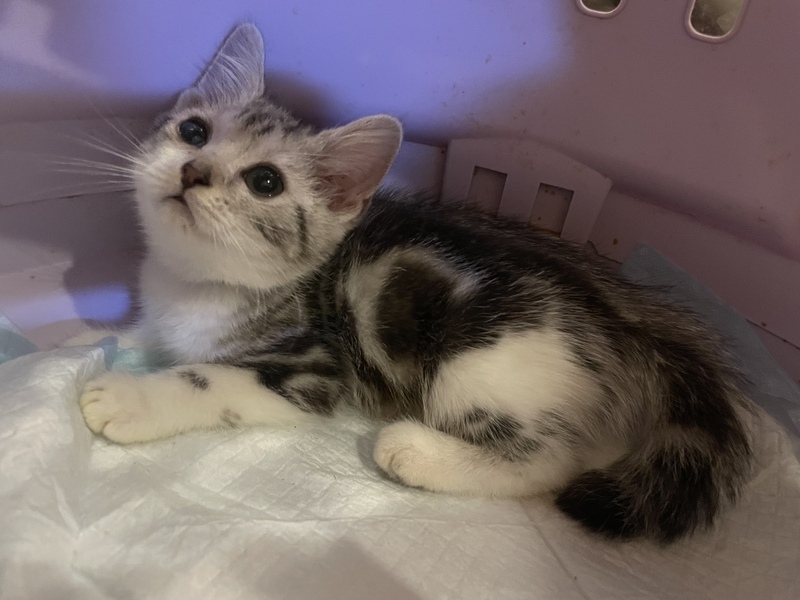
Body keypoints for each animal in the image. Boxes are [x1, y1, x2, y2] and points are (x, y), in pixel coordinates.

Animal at [77, 23, 753, 543]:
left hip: (477, 362)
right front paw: (104, 346)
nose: (193, 171)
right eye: (193, 132)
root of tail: (618, 314)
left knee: (553, 461)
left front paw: (127, 398)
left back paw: (415, 451)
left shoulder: (310, 369)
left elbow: (205, 377)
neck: (195, 285)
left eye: (265, 182)